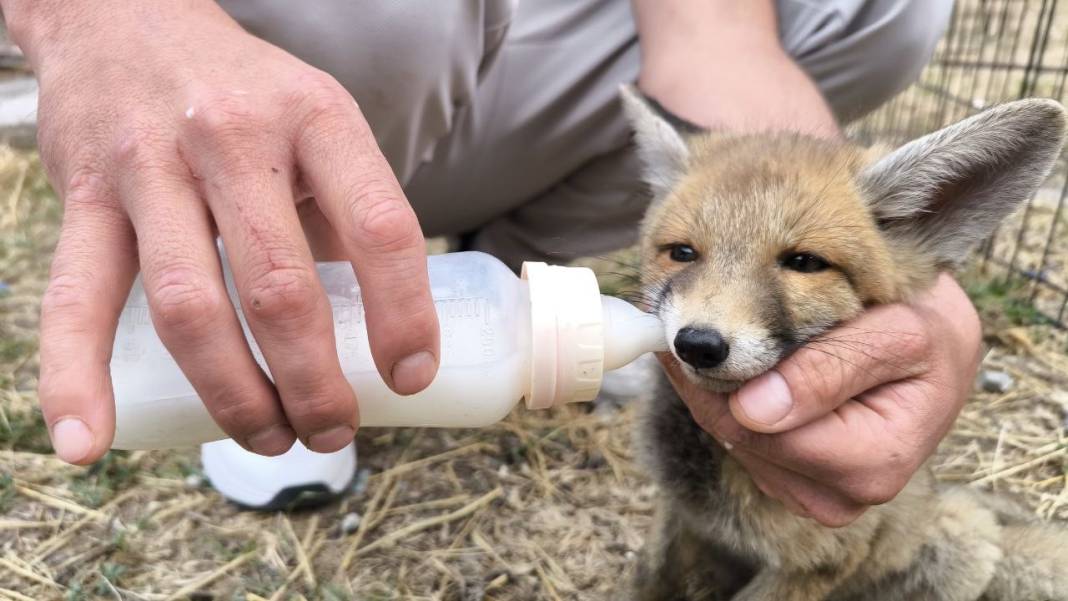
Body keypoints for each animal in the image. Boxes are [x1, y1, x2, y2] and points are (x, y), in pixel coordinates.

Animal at [623, 88, 1068, 601]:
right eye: (682, 253)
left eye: (804, 263)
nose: (698, 343)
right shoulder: (680, 514)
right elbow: (649, 577)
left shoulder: (816, 563)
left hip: (962, 549)